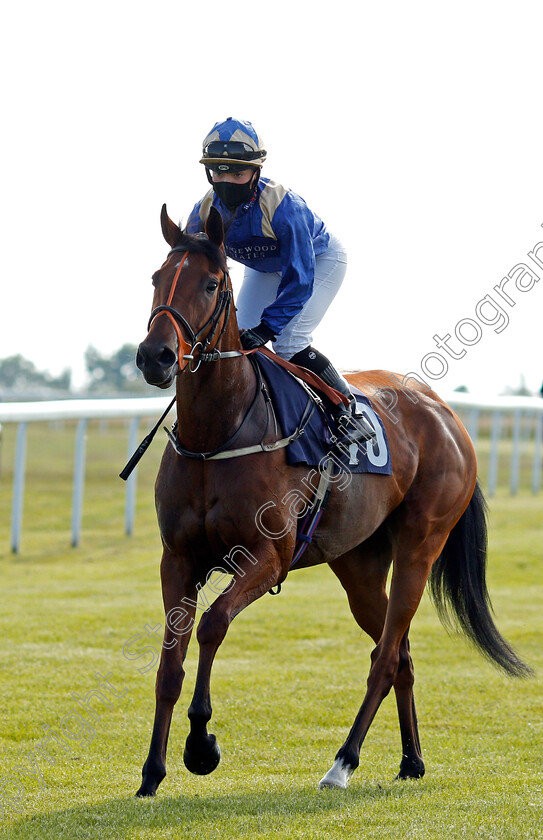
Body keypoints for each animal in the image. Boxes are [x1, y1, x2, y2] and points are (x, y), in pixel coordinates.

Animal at [133, 203, 532, 796]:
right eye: (157, 278)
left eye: (210, 283)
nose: (155, 357)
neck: (218, 434)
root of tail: (444, 411)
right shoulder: (178, 559)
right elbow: (168, 664)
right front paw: (151, 772)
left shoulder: (266, 556)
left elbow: (212, 625)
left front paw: (201, 744)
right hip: (359, 564)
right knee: (400, 652)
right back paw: (410, 759)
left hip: (419, 547)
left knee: (386, 657)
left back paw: (343, 761)